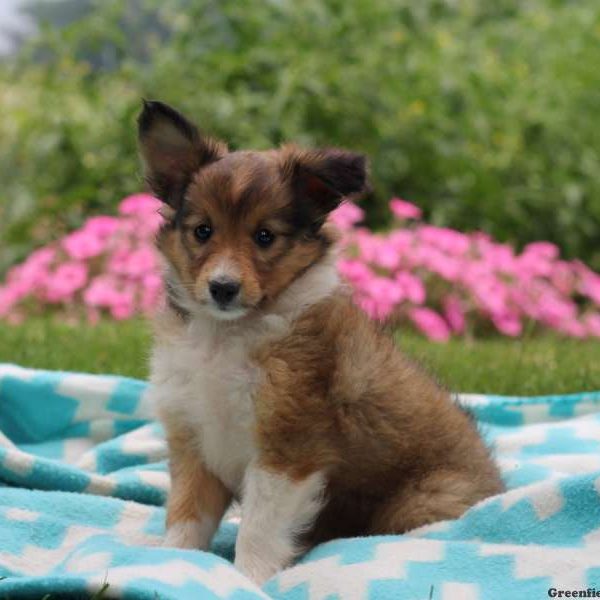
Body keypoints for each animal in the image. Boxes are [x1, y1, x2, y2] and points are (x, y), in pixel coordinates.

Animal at [138, 101, 504, 584]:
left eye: (264, 236)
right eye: (203, 231)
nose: (223, 288)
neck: (227, 334)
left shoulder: (288, 448)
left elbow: (257, 529)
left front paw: (249, 580)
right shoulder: (193, 439)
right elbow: (185, 516)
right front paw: (172, 562)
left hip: (420, 501)